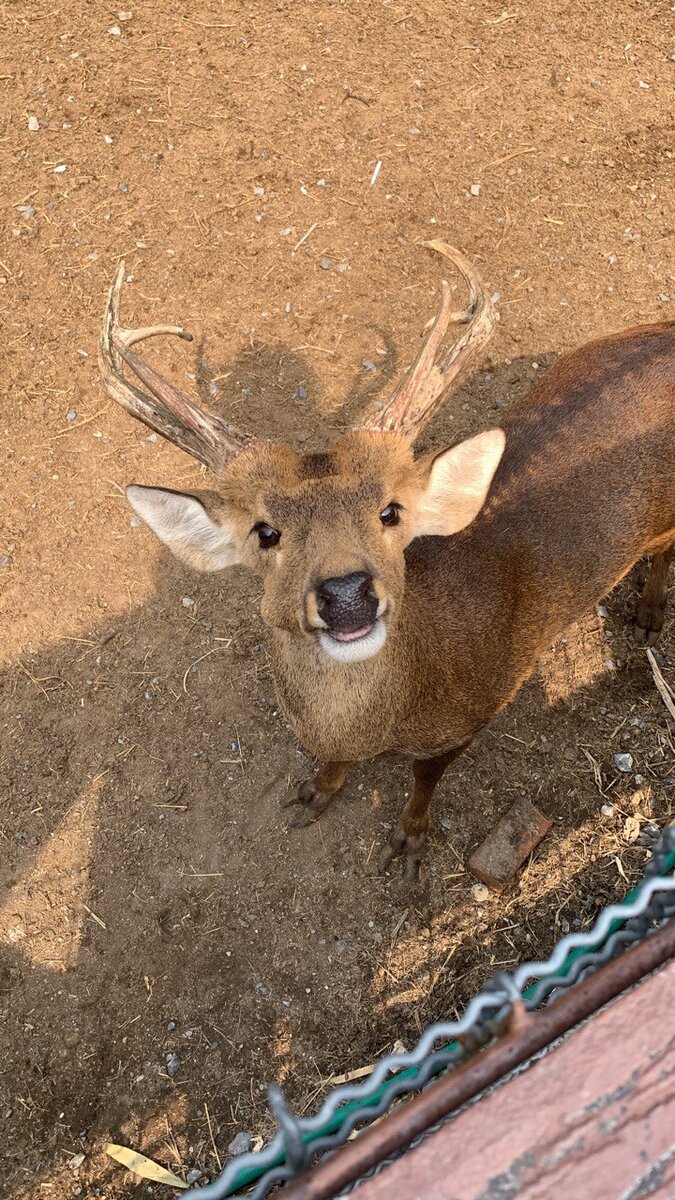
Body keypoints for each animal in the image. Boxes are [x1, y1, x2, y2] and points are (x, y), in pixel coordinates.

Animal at [99, 246, 672, 883]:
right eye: (265, 531)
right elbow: (329, 769)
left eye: (390, 511)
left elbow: (425, 781)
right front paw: (313, 795)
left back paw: (649, 616)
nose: (347, 593)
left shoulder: (469, 717)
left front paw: (410, 842)